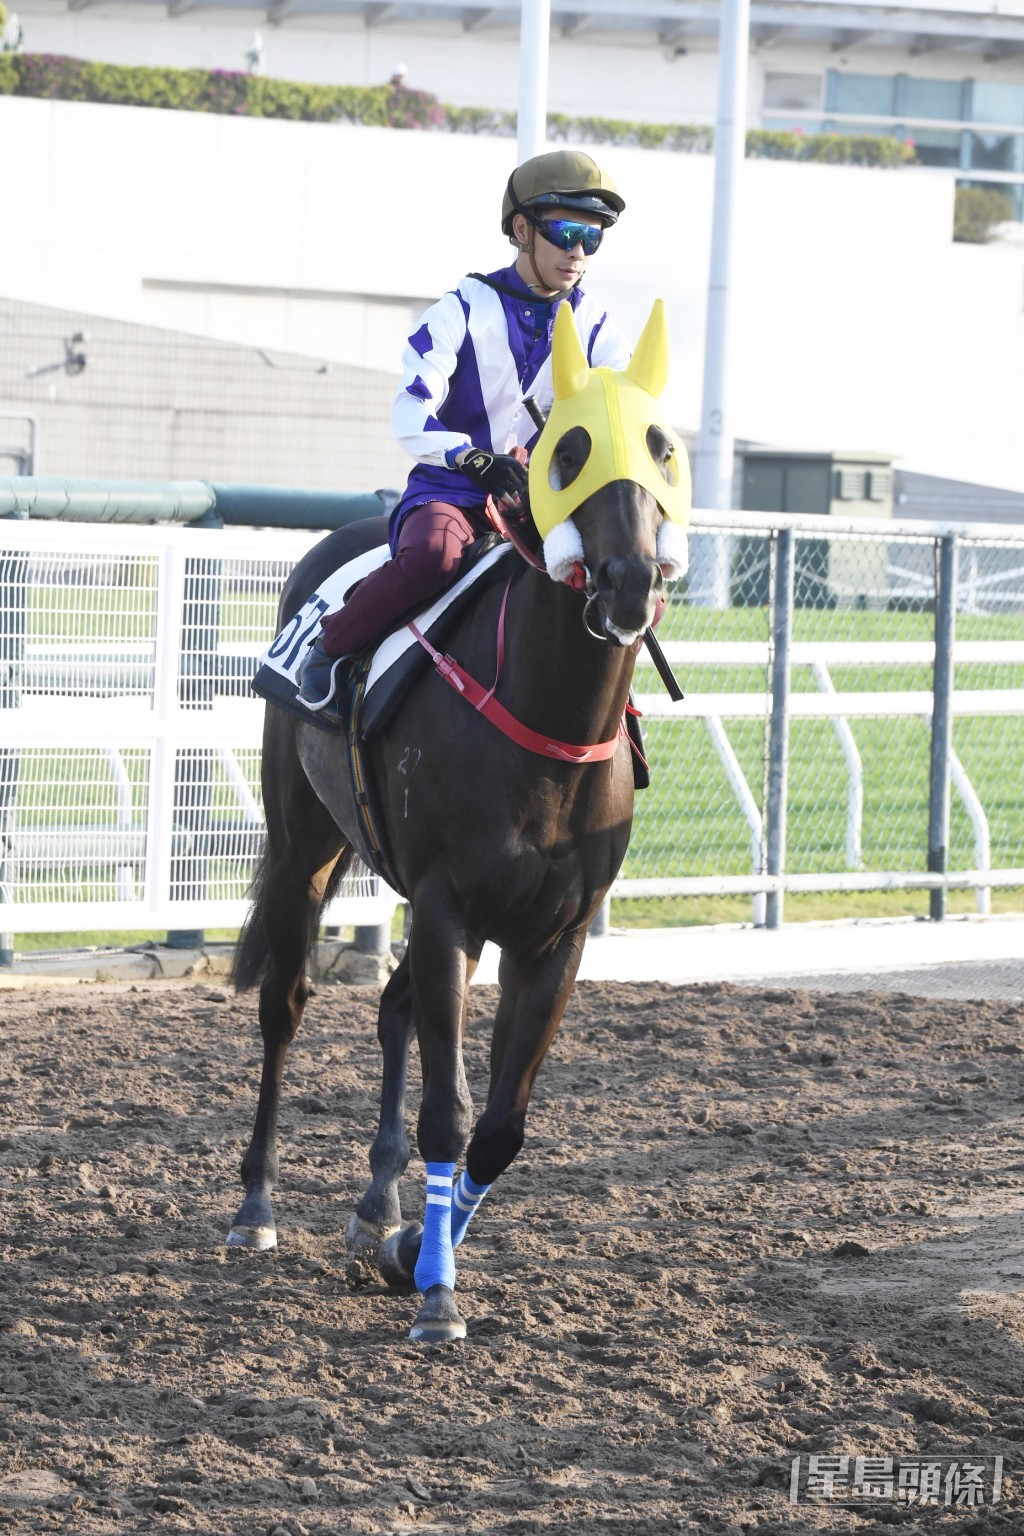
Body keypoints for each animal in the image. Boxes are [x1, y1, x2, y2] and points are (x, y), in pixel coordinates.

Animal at [228, 299, 691, 1344]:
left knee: (397, 1008)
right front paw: (437, 1293)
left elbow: (499, 1127)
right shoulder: (447, 907)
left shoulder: (552, 934)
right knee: (286, 1006)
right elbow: (449, 1108)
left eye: (660, 448)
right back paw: (255, 1207)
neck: (549, 720)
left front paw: (413, 1248)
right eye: (568, 453)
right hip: (303, 847)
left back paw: (379, 1205)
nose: (629, 580)